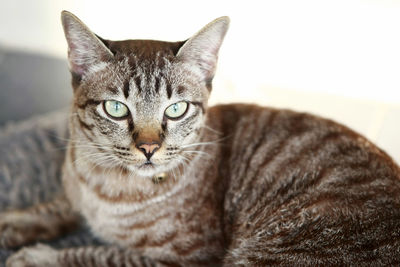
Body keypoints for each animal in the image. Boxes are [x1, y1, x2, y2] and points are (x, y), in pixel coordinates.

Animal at [0, 9, 400, 266]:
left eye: (176, 109)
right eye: (116, 108)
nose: (149, 148)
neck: (103, 185)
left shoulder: (190, 259)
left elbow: (101, 254)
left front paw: (37, 256)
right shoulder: (75, 192)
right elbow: (56, 206)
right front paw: (14, 223)